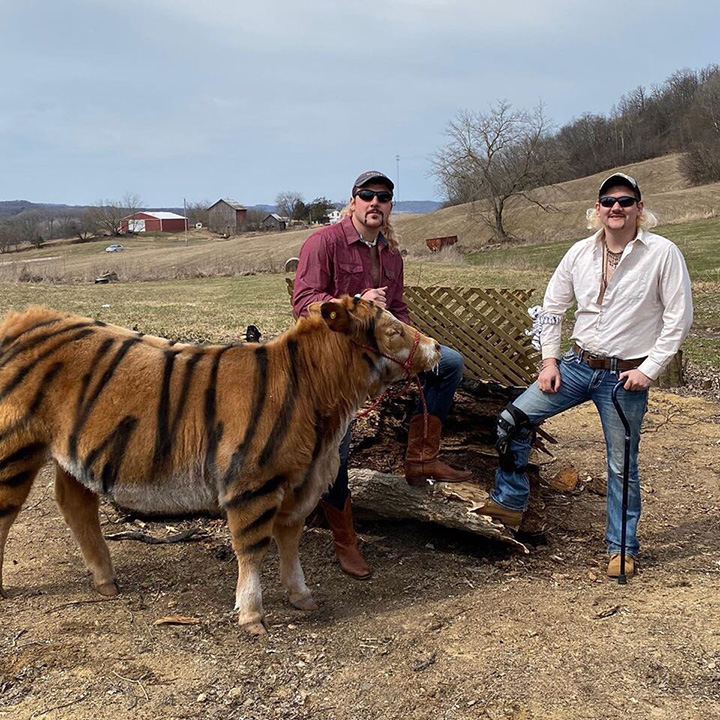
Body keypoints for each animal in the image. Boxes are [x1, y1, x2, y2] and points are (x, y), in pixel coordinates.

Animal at [0, 296, 438, 632]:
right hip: (14, 445)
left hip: (74, 454)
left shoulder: (300, 481)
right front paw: (252, 616)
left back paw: (106, 581)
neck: (312, 392)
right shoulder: (252, 481)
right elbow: (253, 547)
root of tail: (23, 317)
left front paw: (301, 595)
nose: (435, 346)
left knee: (75, 504)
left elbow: (290, 540)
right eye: (393, 331)